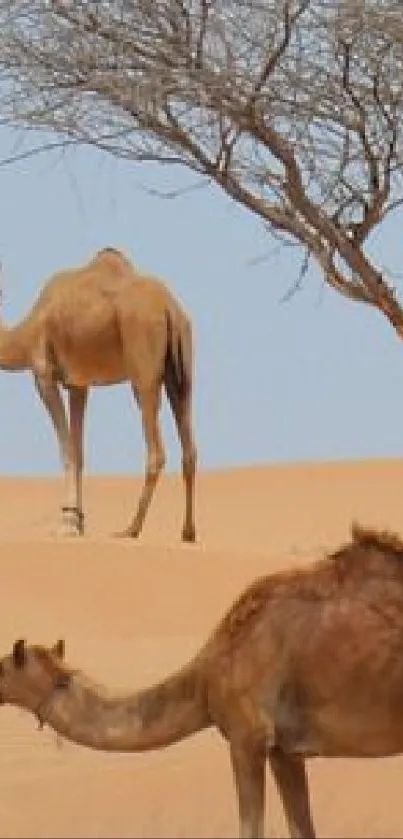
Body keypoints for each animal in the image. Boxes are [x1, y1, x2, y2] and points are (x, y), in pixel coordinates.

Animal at [0, 246, 197, 540]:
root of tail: (169, 307)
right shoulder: (78, 383)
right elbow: (78, 450)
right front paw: (78, 522)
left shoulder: (43, 373)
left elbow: (67, 449)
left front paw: (67, 524)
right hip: (182, 368)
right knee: (189, 445)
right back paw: (188, 532)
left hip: (143, 364)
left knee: (156, 449)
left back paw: (131, 529)